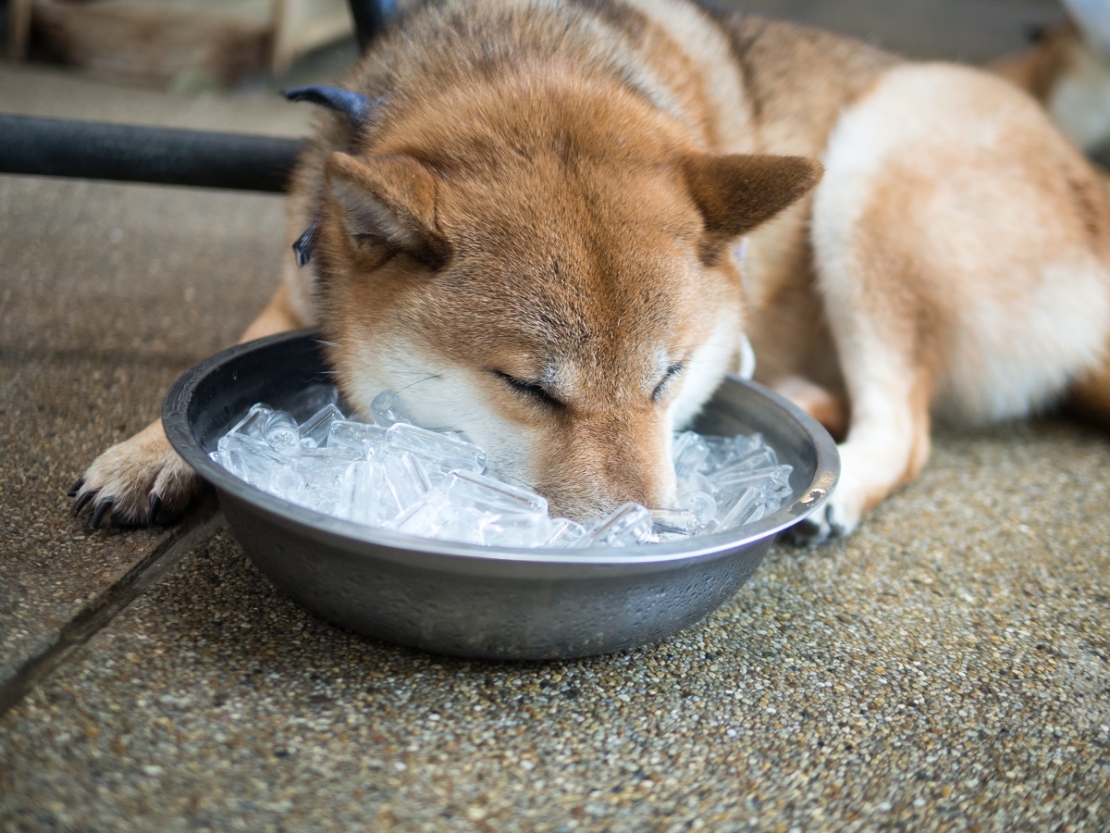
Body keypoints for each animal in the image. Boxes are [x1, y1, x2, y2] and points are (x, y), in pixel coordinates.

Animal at [69, 0, 1110, 548]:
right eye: (529, 388)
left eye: (667, 377)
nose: (637, 534)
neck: (521, 53)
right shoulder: (299, 279)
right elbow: (213, 365)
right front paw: (145, 453)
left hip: (874, 165)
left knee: (906, 426)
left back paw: (838, 484)